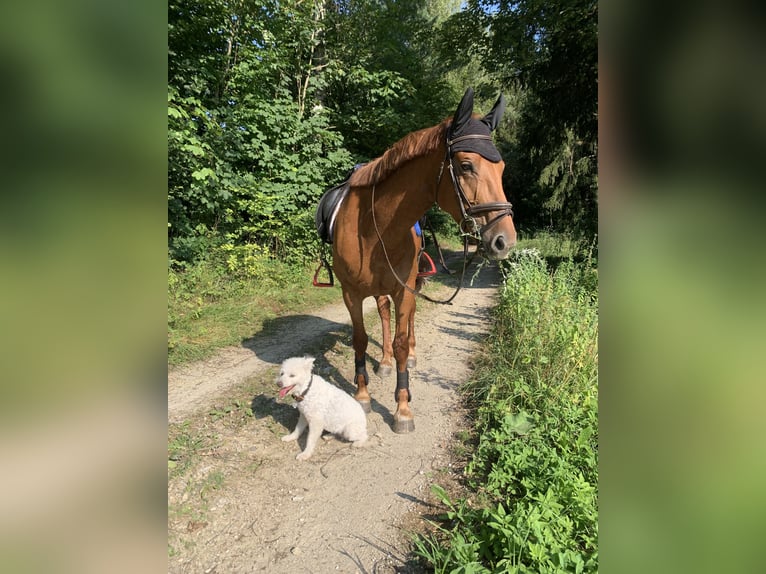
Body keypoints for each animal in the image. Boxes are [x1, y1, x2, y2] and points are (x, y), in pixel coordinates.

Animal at [331, 87, 517, 433]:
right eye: (466, 165)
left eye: (501, 169)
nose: (504, 241)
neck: (374, 227)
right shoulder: (350, 292)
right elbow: (360, 339)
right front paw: (362, 394)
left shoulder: (404, 288)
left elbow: (403, 341)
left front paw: (403, 408)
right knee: (384, 313)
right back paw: (384, 362)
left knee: (408, 318)